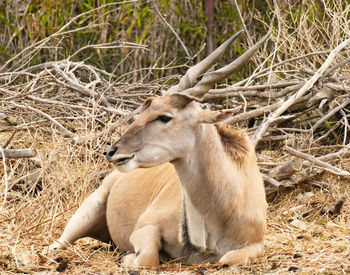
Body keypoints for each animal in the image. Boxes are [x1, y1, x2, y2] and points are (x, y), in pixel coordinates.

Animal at [48, 30, 268, 270]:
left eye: (164, 117)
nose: (113, 152)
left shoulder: (256, 243)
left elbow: (228, 258)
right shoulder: (144, 228)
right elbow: (148, 258)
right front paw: (128, 257)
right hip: (85, 213)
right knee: (55, 244)